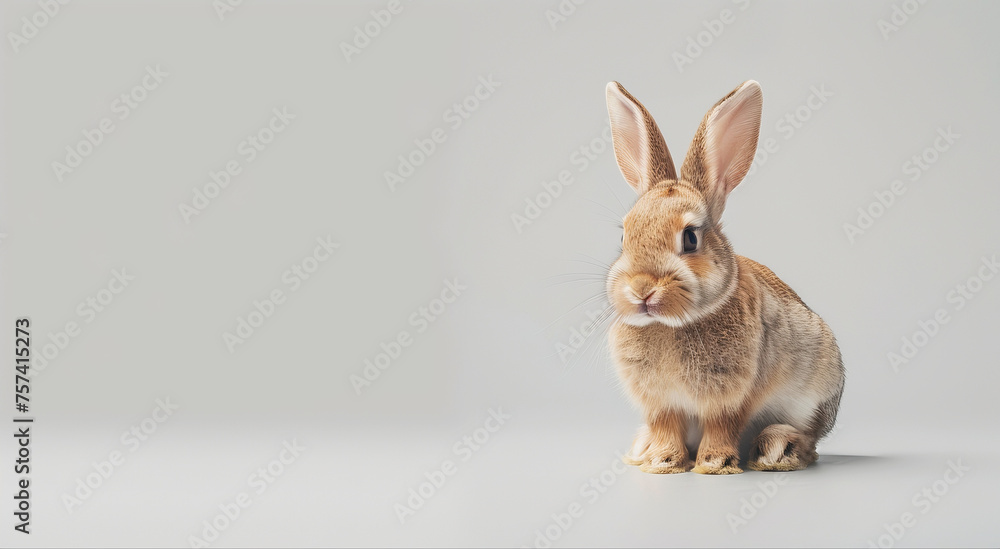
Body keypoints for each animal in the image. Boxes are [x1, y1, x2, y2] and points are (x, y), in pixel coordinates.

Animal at [603, 80, 845, 474]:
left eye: (690, 238)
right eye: (624, 236)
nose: (642, 289)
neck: (671, 325)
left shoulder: (732, 397)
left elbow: (722, 425)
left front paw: (714, 463)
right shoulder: (661, 404)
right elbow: (666, 427)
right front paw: (662, 461)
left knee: (810, 442)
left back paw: (777, 449)